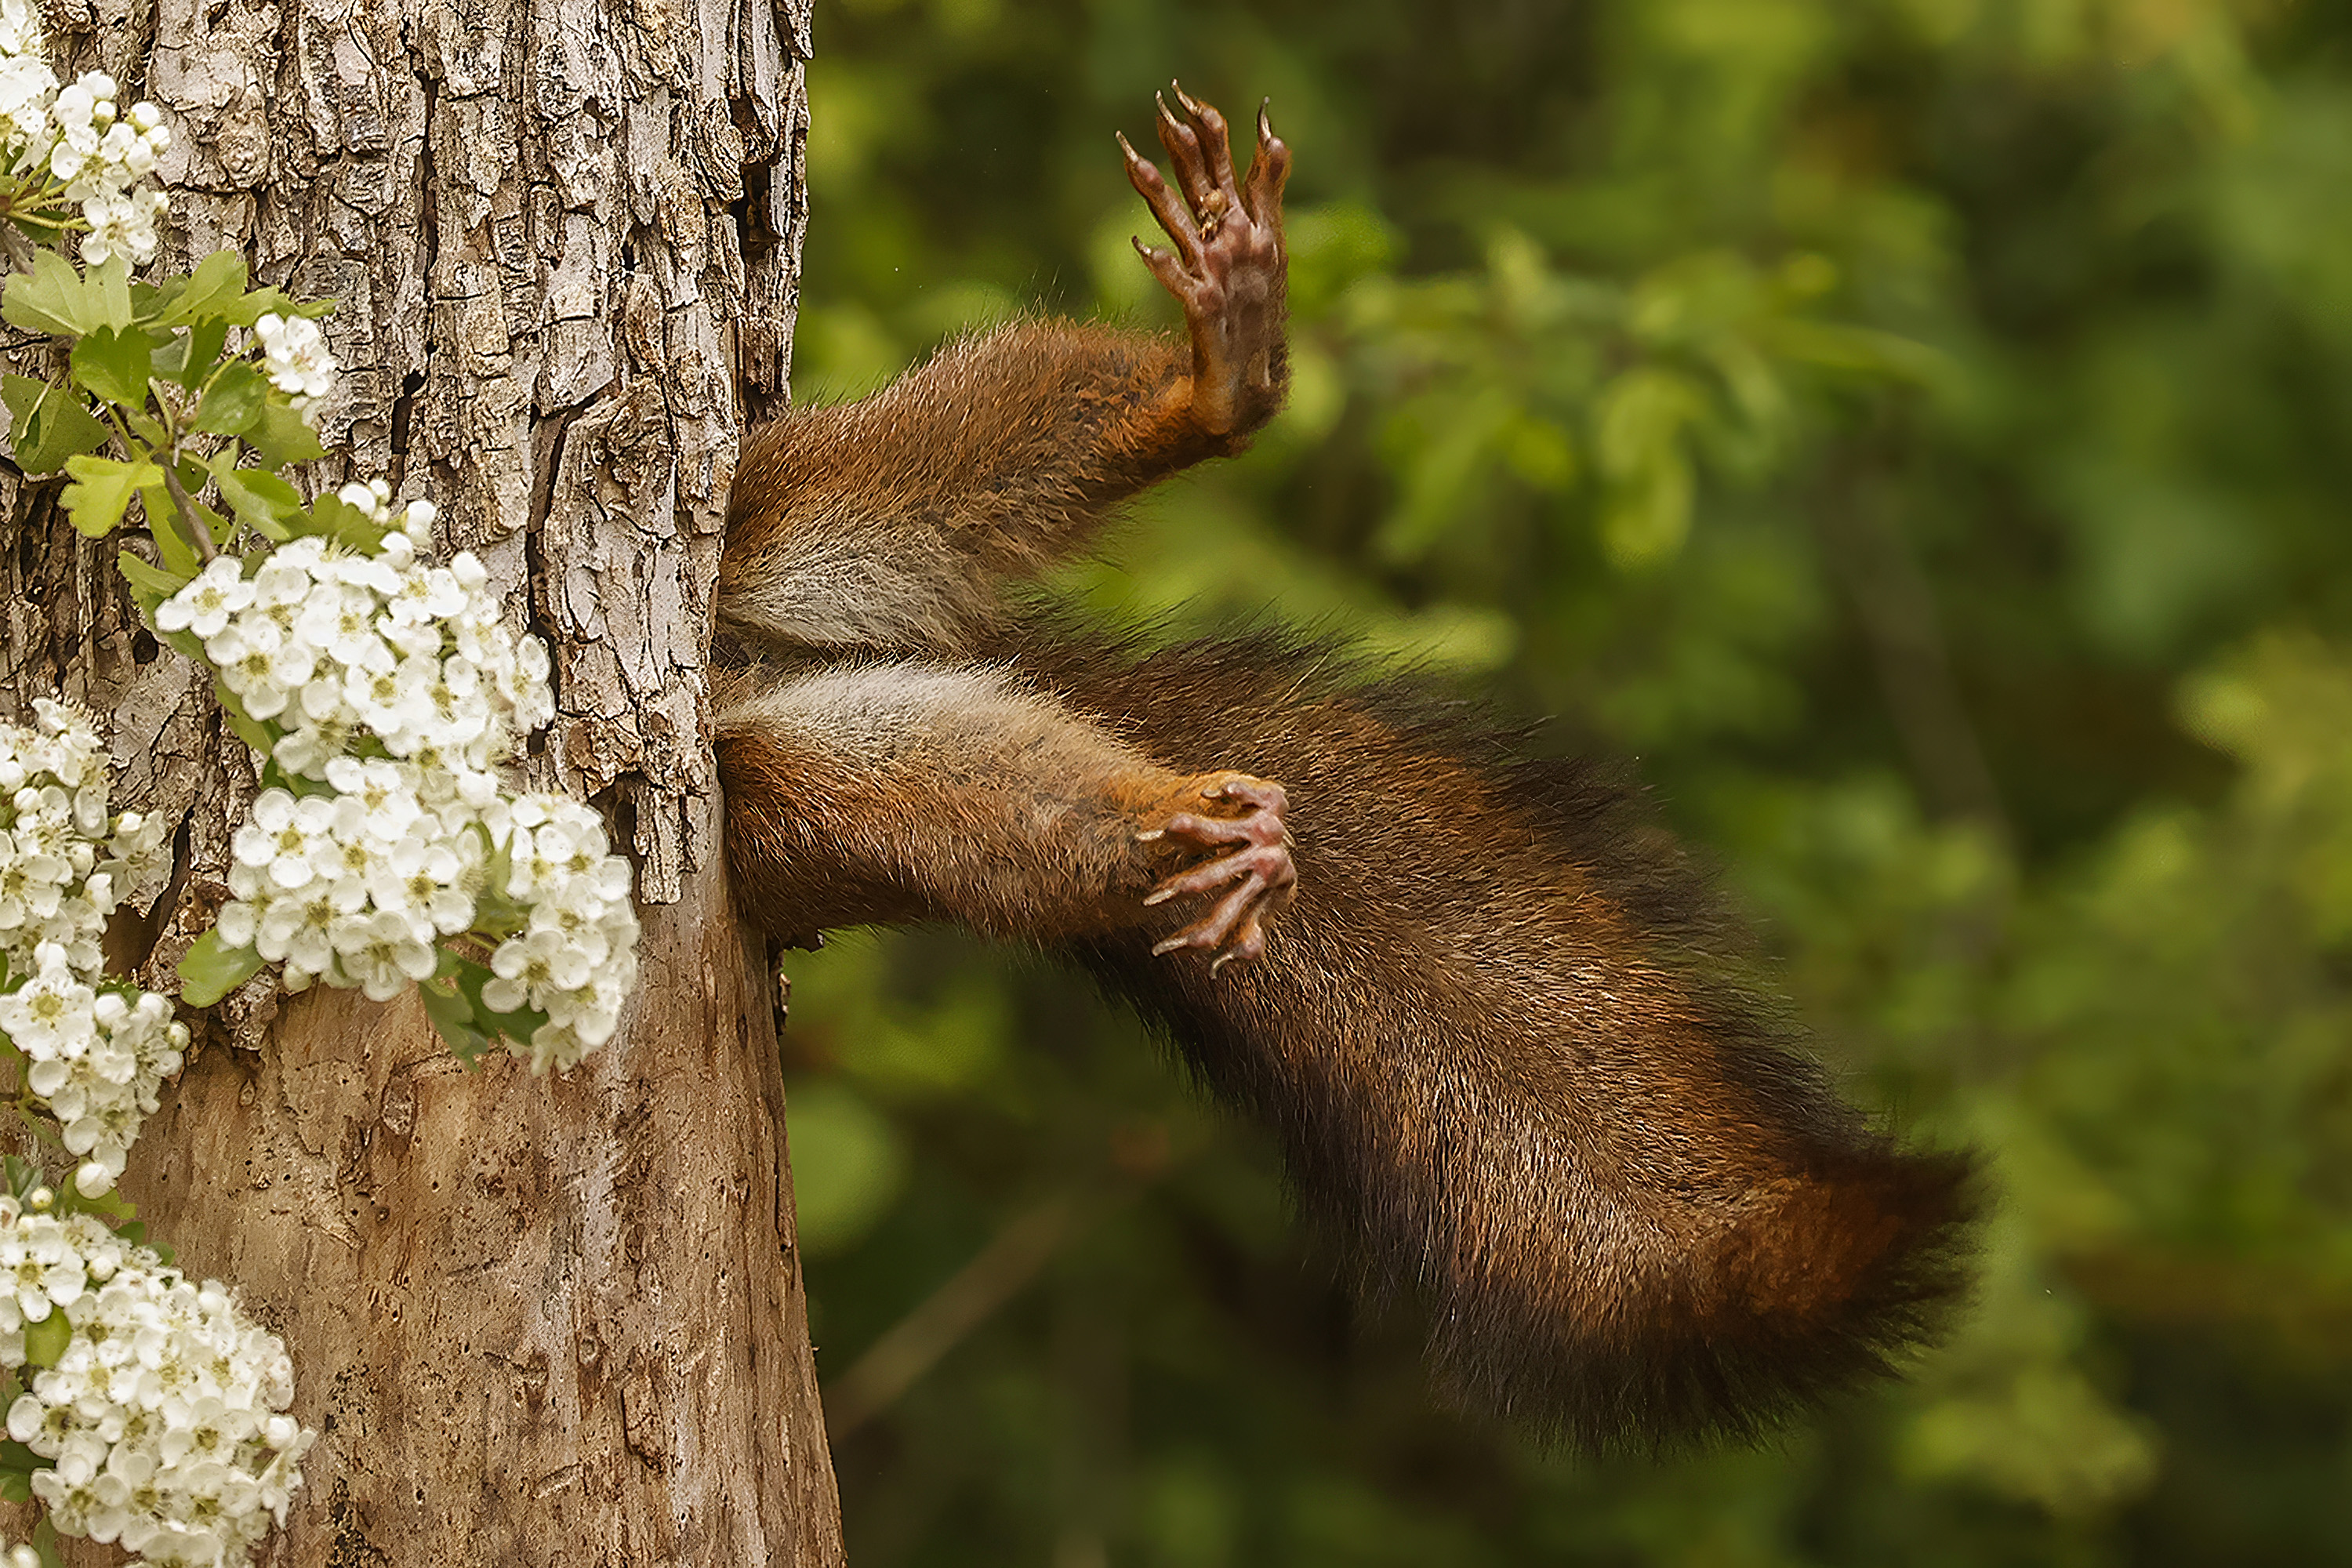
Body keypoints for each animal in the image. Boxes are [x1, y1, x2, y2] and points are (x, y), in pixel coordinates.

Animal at [710, 85, 1966, 1448]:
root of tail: (747, 671)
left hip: (775, 508)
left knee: (924, 465)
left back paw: (1219, 380)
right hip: (787, 797)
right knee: (953, 796)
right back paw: (1189, 827)